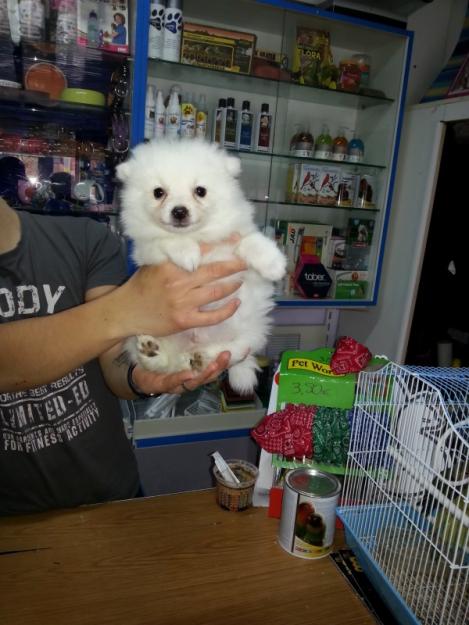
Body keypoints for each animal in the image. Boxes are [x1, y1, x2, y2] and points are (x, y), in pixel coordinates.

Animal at [117, 139, 286, 392]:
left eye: (200, 191)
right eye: (158, 193)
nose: (179, 211)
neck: (199, 235)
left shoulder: (236, 241)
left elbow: (249, 240)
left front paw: (273, 262)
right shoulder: (145, 250)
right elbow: (165, 239)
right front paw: (187, 253)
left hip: (250, 327)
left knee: (235, 351)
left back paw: (203, 357)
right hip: (144, 328)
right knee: (167, 363)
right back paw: (154, 351)